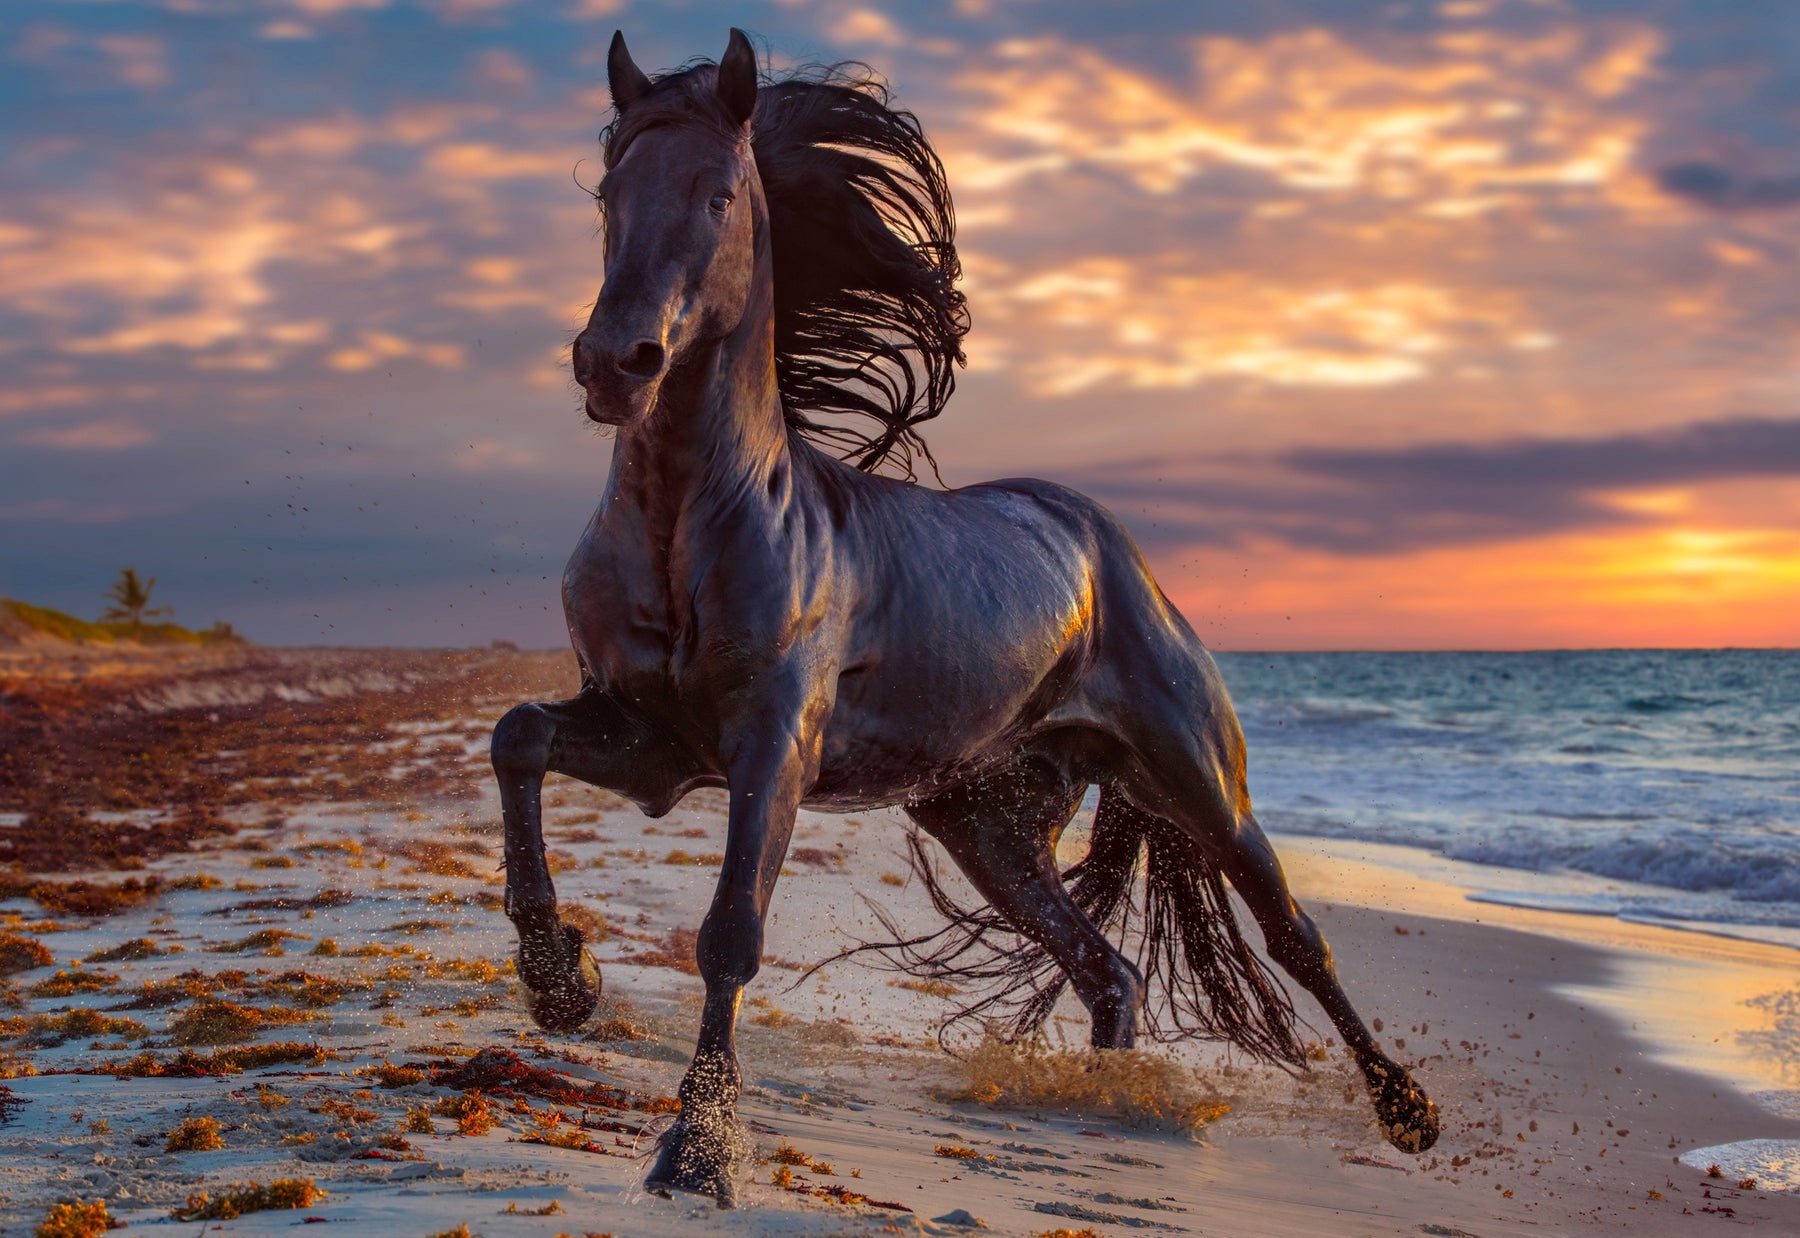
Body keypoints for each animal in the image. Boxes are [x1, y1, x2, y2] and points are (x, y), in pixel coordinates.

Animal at [489, 31, 1432, 1209]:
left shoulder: (772, 749)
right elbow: (517, 736)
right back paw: (1100, 1117)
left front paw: (697, 1152)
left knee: (1293, 935)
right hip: (988, 826)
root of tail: (1104, 544)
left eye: (718, 196)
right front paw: (560, 976)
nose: (616, 363)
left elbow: (731, 932)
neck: (692, 525)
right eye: (608, 195)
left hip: (1199, 781)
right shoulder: (651, 739)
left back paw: (1410, 1113)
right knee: (1109, 967)